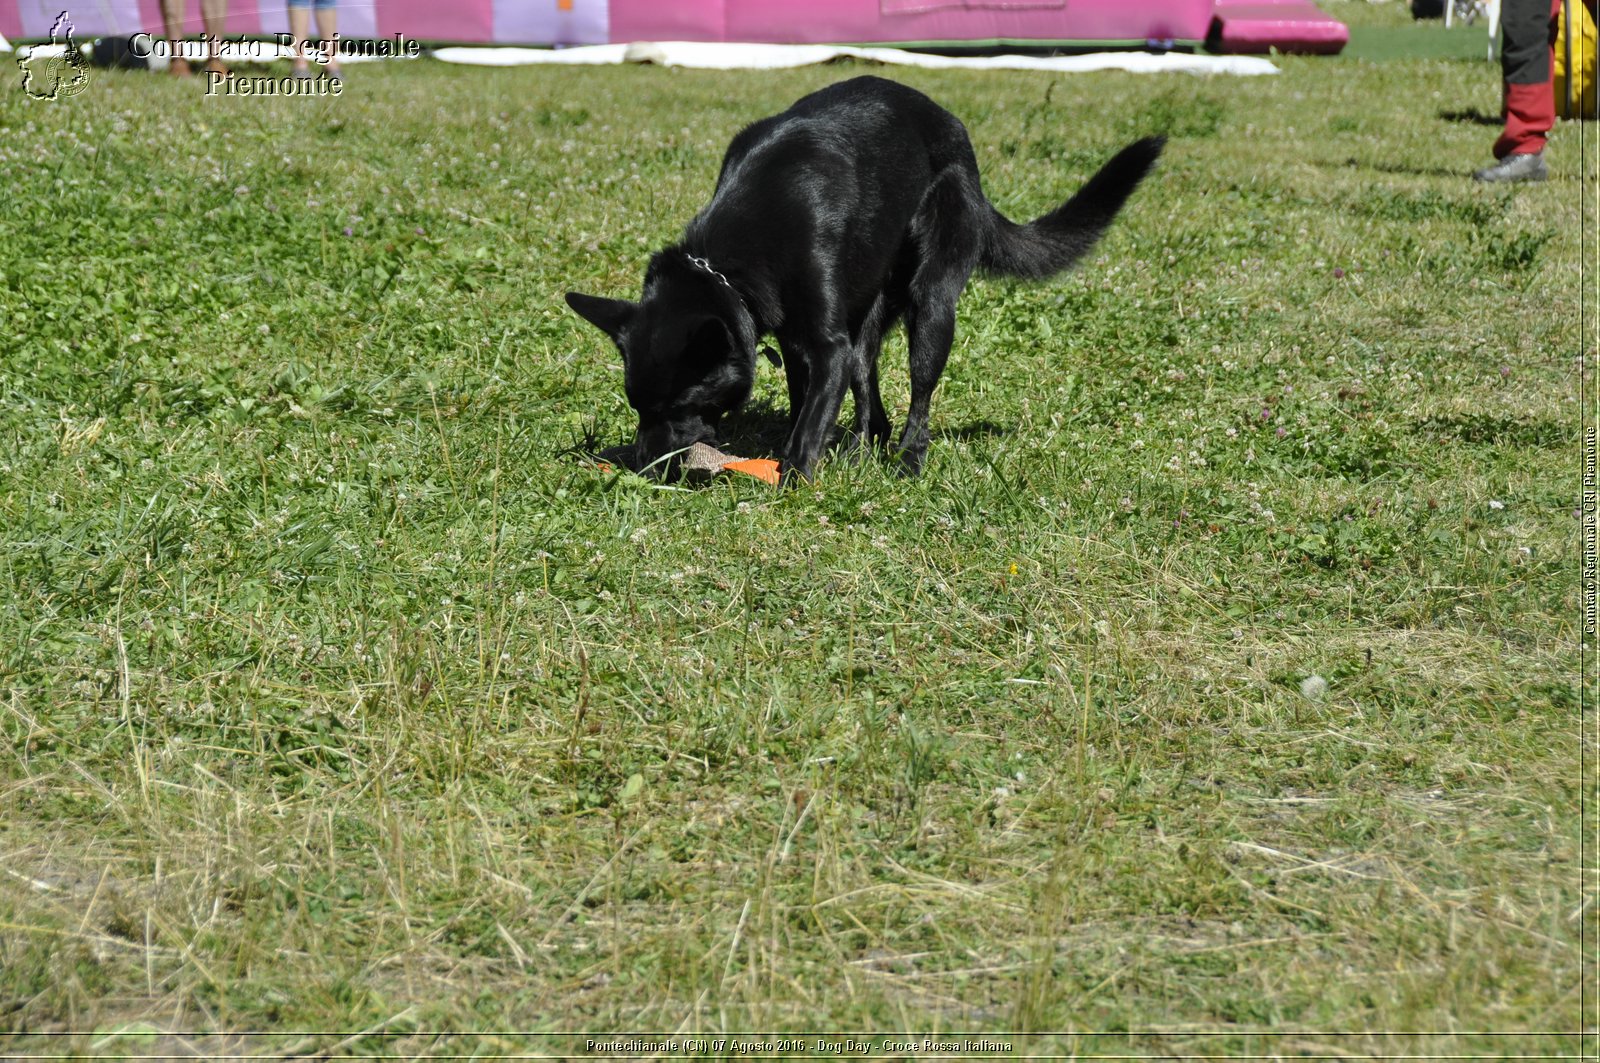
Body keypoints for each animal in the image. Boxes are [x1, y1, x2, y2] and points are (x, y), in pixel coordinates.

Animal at [566, 78, 1164, 480]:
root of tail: (959, 139)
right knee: (870, 398)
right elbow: (805, 400)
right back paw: (860, 450)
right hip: (868, 323)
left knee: (919, 392)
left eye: (676, 408)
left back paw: (909, 459)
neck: (729, 260)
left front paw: (794, 480)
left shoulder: (826, 343)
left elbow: (810, 424)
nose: (644, 468)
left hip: (931, 304)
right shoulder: (799, 342)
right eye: (637, 409)